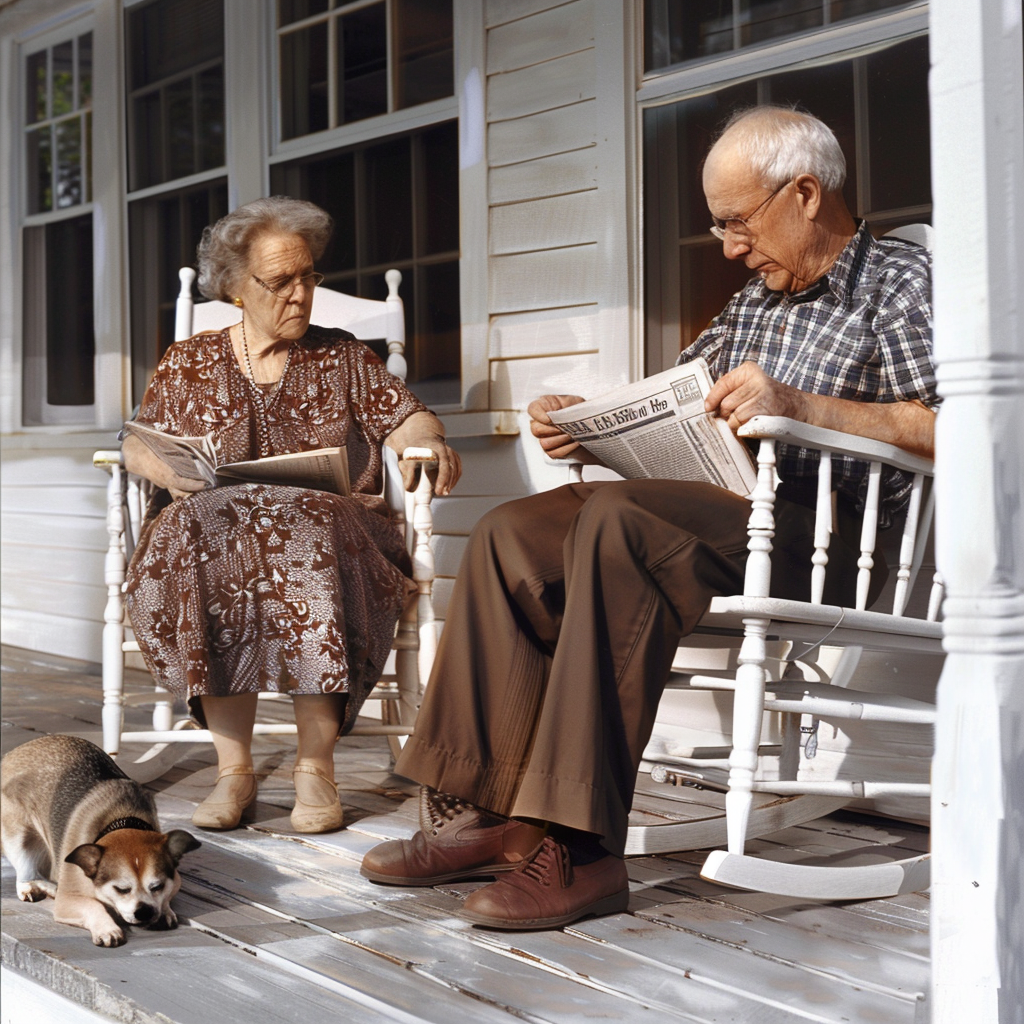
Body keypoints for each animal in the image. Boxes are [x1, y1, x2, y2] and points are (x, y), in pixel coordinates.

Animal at [0, 733, 199, 946]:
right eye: (121, 889)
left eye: (158, 886)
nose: (145, 911)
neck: (122, 819)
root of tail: (12, 753)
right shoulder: (67, 900)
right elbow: (93, 905)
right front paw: (107, 928)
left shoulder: (175, 880)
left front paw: (164, 910)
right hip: (18, 835)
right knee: (26, 867)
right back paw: (34, 885)